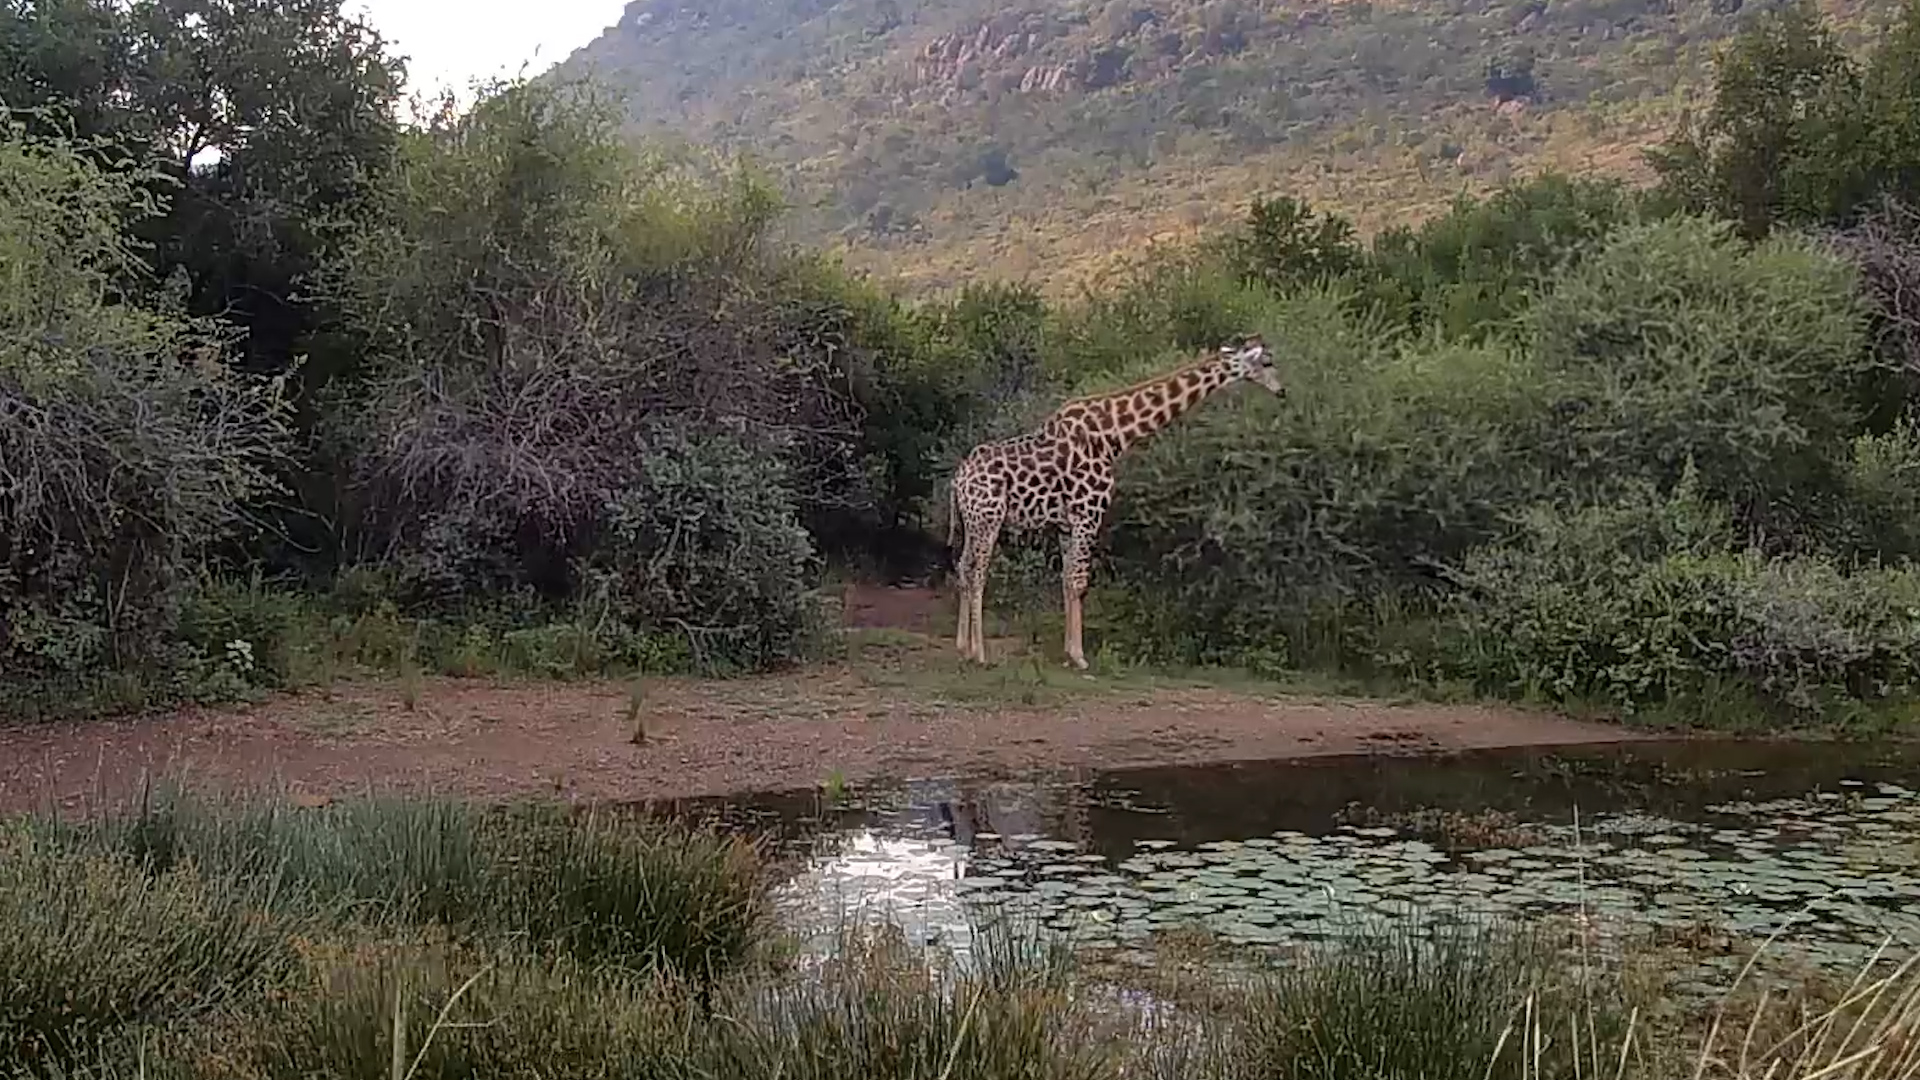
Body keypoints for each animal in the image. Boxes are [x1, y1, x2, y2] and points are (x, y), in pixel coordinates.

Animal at [946, 335, 1284, 669]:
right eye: (1267, 362)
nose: (1281, 391)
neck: (1114, 435)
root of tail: (958, 480)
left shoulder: (1066, 523)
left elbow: (1067, 580)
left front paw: (1068, 652)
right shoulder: (1089, 513)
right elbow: (1079, 581)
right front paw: (1080, 657)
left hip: (972, 521)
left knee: (962, 567)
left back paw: (962, 647)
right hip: (989, 518)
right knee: (977, 573)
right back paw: (980, 653)